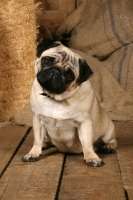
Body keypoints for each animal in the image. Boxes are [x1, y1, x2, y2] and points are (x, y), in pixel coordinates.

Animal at [22, 38, 117, 166]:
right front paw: (34, 153)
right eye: (46, 61)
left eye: (69, 75)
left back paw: (108, 146)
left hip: (108, 131)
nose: (55, 71)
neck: (55, 97)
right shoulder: (38, 120)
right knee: (46, 141)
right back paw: (45, 144)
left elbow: (87, 143)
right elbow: (37, 140)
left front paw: (92, 157)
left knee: (112, 140)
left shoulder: (84, 123)